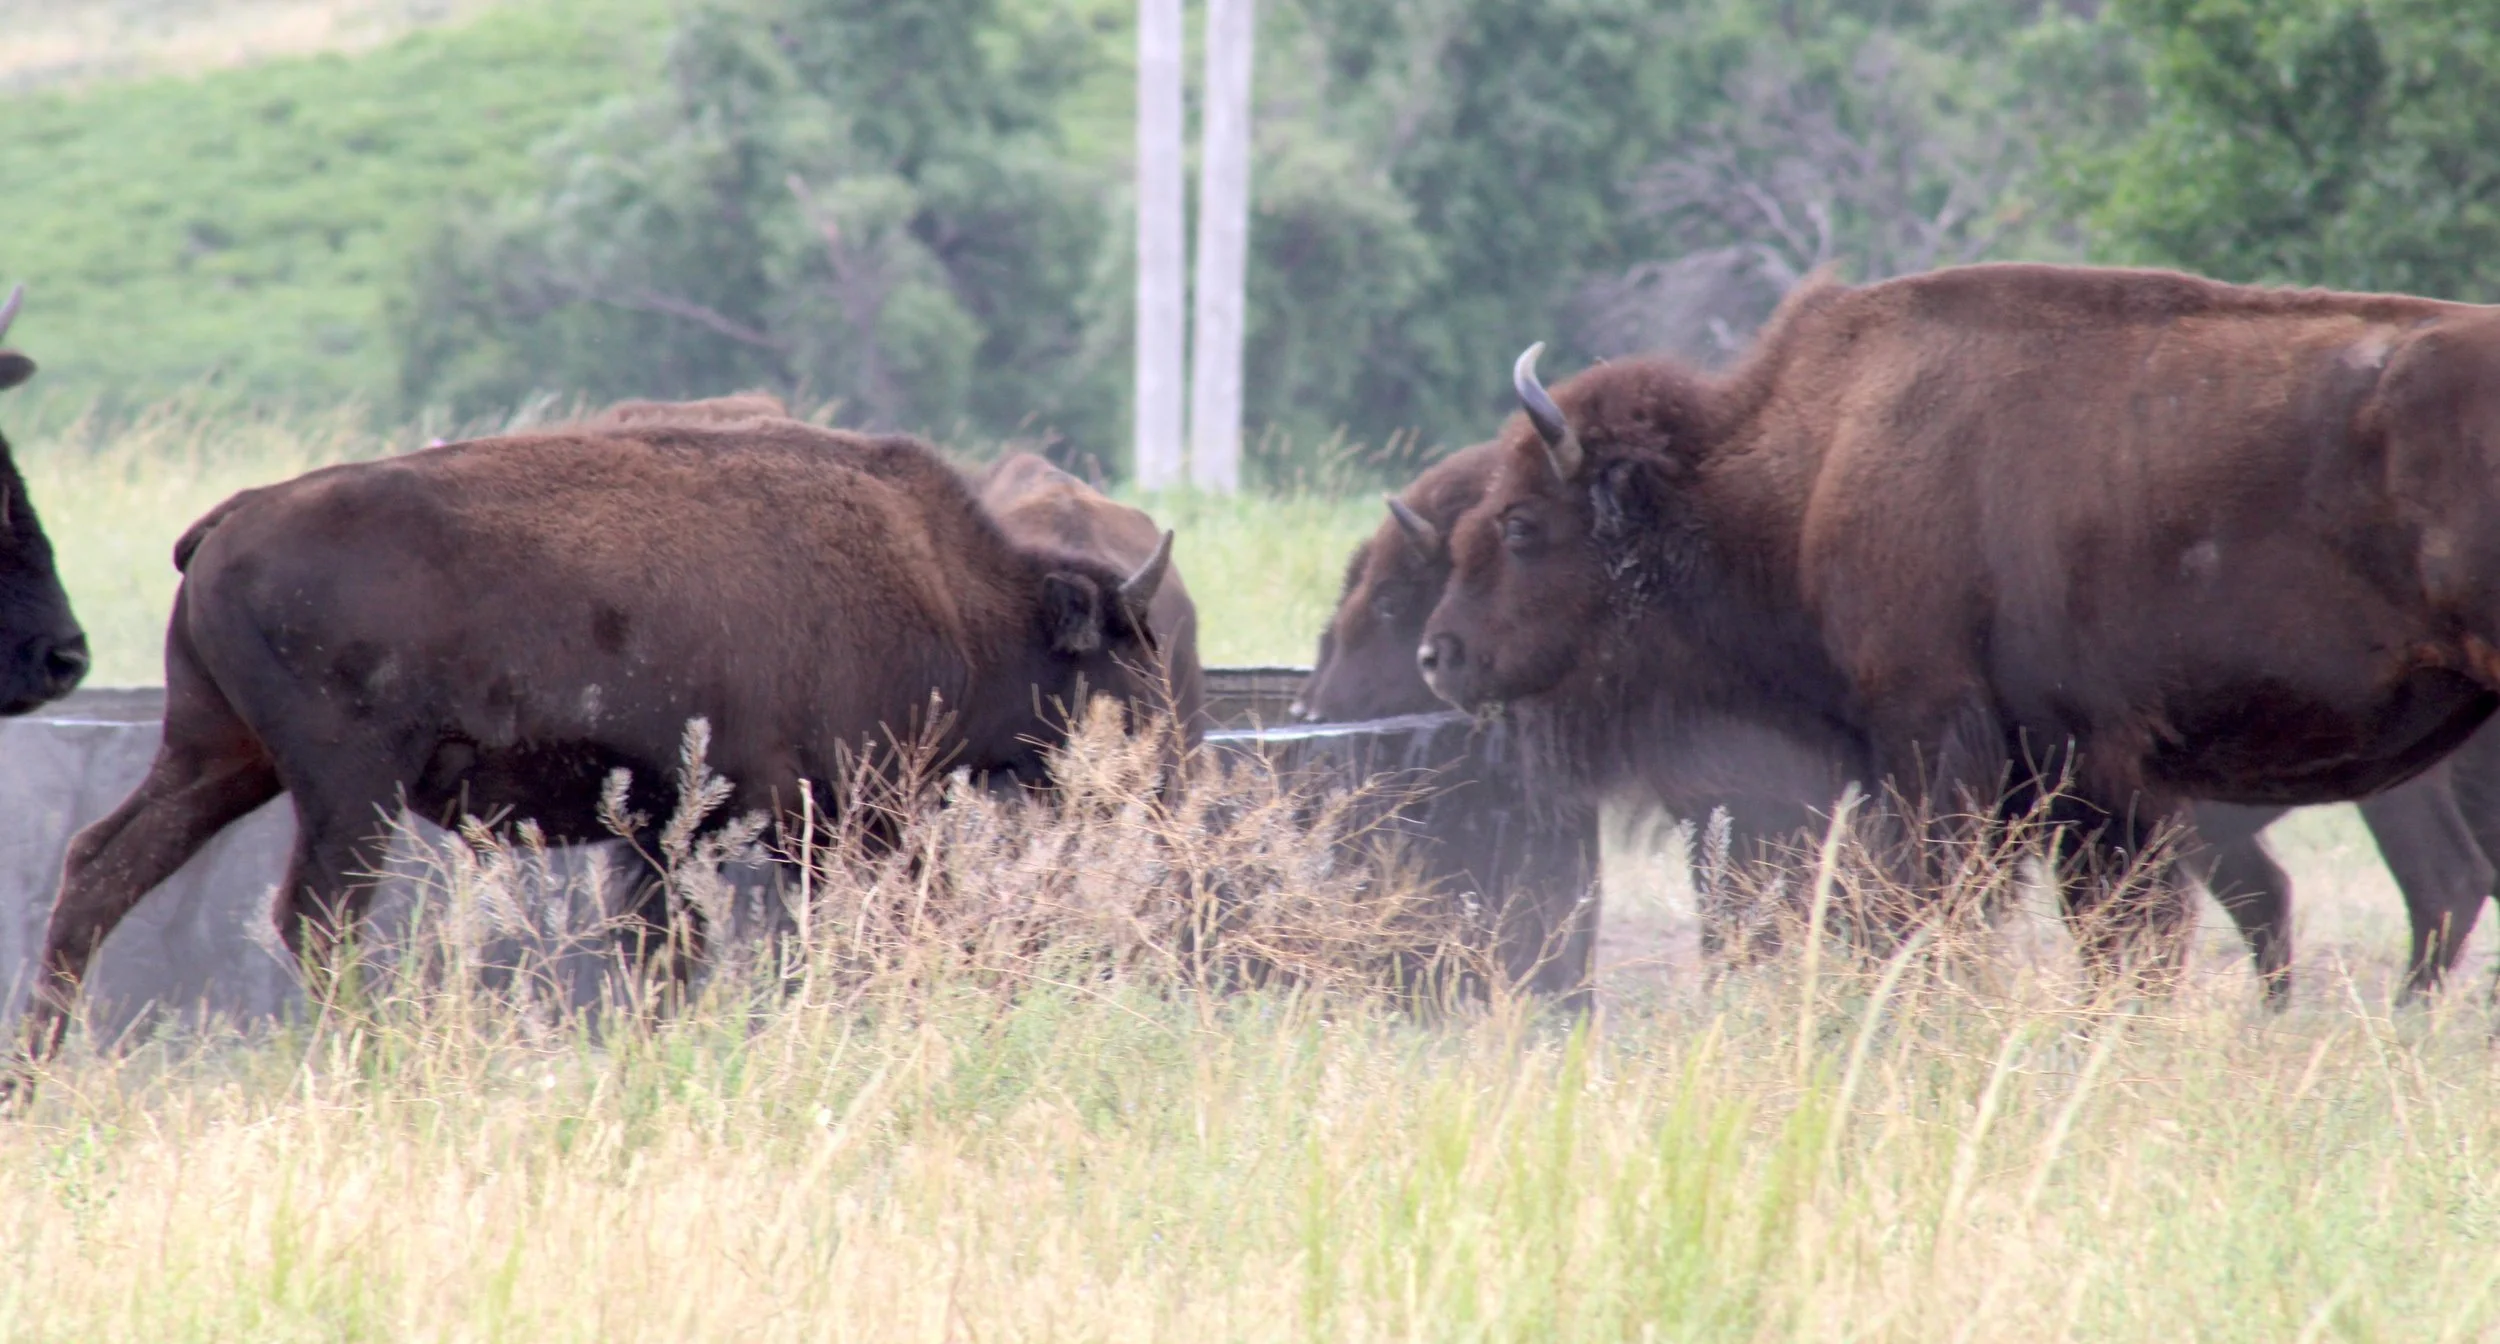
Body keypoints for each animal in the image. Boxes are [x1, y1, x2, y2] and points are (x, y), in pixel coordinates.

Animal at [14, 418, 1173, 1077]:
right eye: (1128, 660)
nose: (1165, 772)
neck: (962, 604)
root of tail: (229, 518)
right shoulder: (829, 821)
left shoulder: (674, 835)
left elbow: (667, 957)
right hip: (348, 784)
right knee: (318, 917)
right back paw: (390, 1066)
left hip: (218, 757)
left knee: (101, 867)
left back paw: (32, 1077)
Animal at [1422, 264, 2500, 983]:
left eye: (1519, 522)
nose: (1441, 654)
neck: (1812, 477)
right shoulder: (2096, 785)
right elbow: (2118, 939)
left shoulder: (1946, 751)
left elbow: (1945, 915)